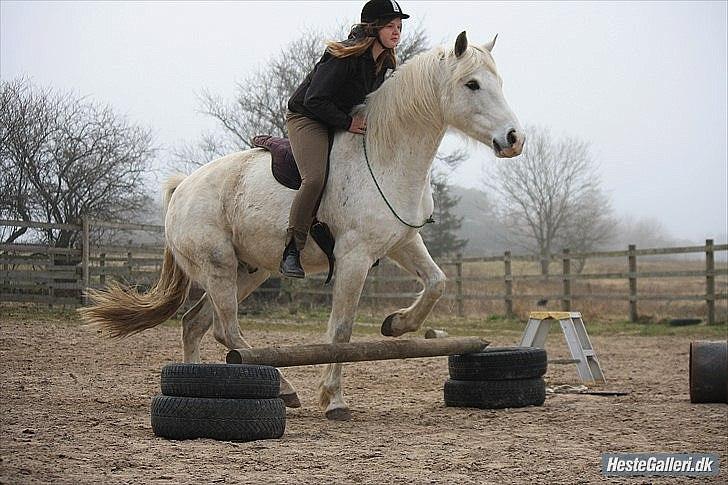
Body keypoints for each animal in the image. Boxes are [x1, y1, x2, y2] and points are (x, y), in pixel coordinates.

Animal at [81, 32, 524, 420]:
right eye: (471, 84)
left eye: (500, 83)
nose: (513, 139)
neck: (385, 155)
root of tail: (181, 188)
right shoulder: (354, 257)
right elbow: (340, 333)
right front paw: (334, 400)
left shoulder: (402, 242)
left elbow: (437, 283)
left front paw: (397, 324)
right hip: (218, 267)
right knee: (226, 329)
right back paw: (282, 388)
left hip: (249, 271)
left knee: (197, 325)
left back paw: (202, 382)